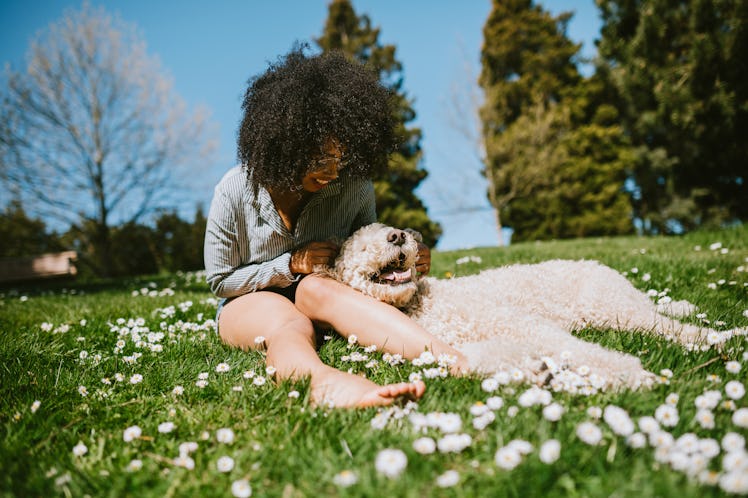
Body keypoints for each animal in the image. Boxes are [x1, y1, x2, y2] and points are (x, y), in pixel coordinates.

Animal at [322, 224, 736, 392]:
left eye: (391, 230)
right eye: (362, 247)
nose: (399, 237)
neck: (421, 304)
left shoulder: (524, 325)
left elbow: (582, 351)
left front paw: (628, 374)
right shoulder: (467, 344)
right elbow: (492, 357)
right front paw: (537, 372)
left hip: (613, 307)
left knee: (671, 326)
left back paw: (723, 337)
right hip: (616, 309)